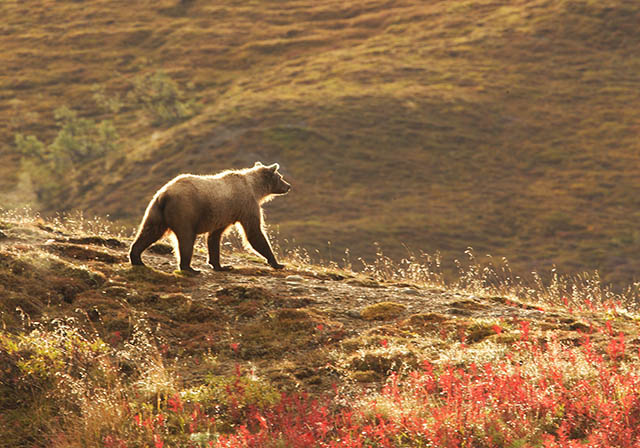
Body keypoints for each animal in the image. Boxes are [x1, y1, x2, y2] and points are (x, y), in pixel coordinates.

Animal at [129, 162, 291, 273]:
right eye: (280, 177)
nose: (288, 186)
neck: (255, 188)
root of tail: (165, 194)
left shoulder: (223, 214)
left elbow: (214, 237)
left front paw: (221, 265)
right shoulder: (246, 205)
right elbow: (254, 233)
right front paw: (277, 263)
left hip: (156, 211)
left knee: (149, 232)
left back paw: (136, 258)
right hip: (185, 210)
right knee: (186, 238)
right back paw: (190, 268)